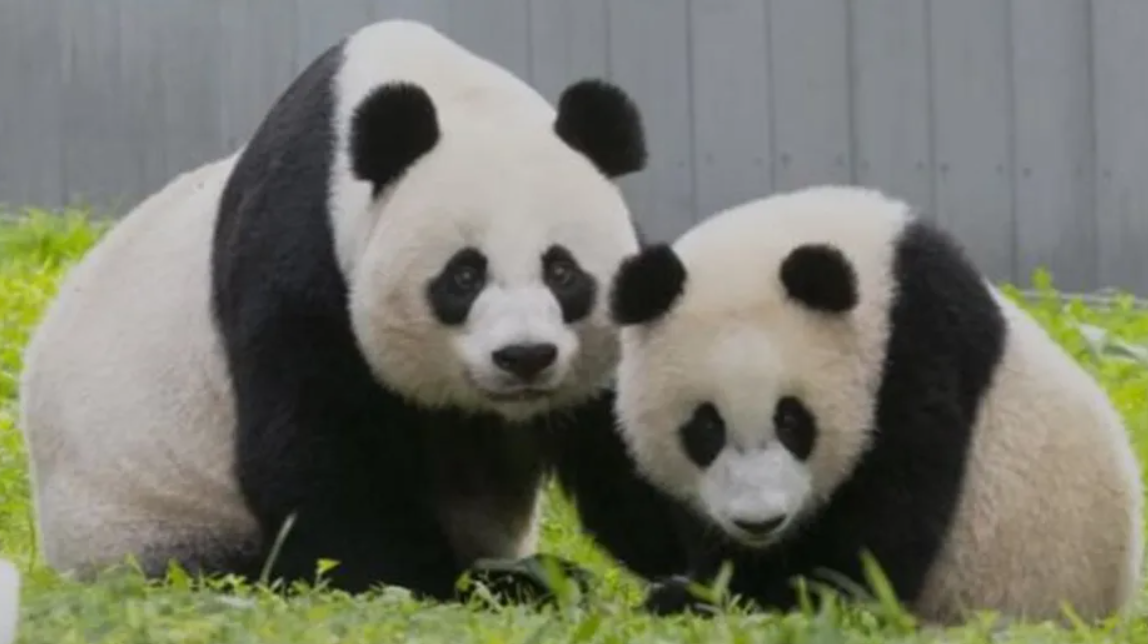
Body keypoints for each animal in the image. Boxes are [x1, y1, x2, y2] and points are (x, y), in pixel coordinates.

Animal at [19, 19, 654, 602]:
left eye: (563, 272)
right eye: (464, 276)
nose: (525, 357)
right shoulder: (302, 258)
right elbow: (318, 456)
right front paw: (453, 583)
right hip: (145, 520)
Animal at [598, 184, 1144, 625]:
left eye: (793, 420)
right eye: (705, 428)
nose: (760, 522)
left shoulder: (918, 342)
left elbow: (879, 546)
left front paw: (736, 597)